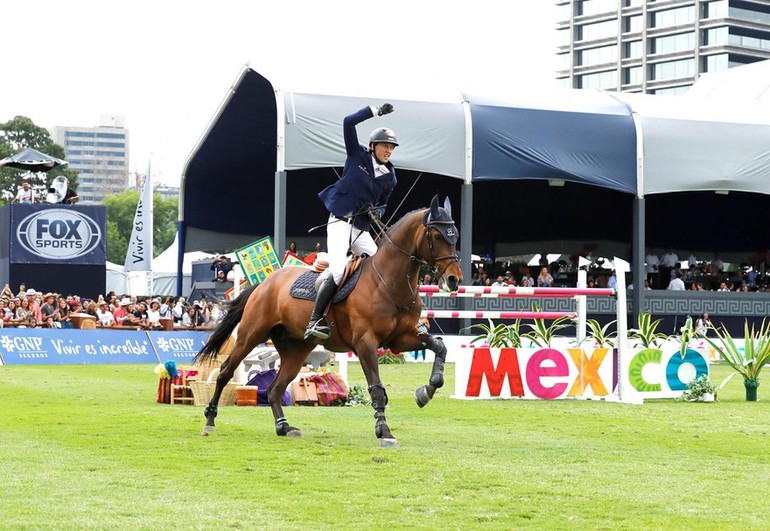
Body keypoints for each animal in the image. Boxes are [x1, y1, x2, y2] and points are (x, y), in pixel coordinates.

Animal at [195, 194, 462, 444]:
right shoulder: (365, 343)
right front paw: (384, 431)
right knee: (225, 372)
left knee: (274, 390)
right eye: (437, 236)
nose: (454, 279)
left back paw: (284, 427)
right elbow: (376, 388)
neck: (389, 283)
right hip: (251, 335)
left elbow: (440, 346)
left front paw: (426, 391)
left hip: (296, 349)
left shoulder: (400, 339)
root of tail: (265, 283)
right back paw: (209, 420)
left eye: (456, 235)